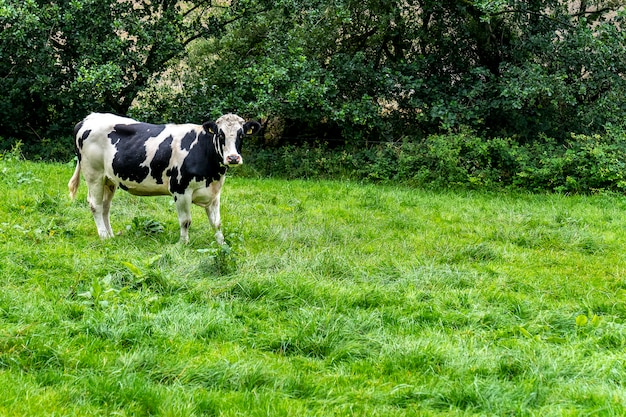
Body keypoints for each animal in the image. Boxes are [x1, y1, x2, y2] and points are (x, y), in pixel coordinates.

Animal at [68, 112, 260, 244]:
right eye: (220, 134)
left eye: (241, 135)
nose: (233, 158)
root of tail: (89, 118)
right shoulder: (180, 190)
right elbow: (186, 221)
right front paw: (183, 244)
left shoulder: (214, 193)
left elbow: (217, 223)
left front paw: (222, 244)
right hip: (94, 175)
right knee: (96, 205)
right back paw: (103, 237)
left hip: (109, 179)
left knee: (106, 207)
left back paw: (111, 235)